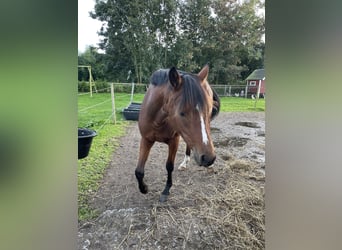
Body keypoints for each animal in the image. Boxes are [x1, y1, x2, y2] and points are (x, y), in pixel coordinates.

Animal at [135, 65, 220, 202]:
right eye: (182, 113)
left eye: (209, 110)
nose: (208, 158)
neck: (158, 120)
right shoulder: (146, 139)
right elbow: (139, 171)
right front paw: (144, 189)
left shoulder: (174, 140)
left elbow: (169, 166)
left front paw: (166, 190)